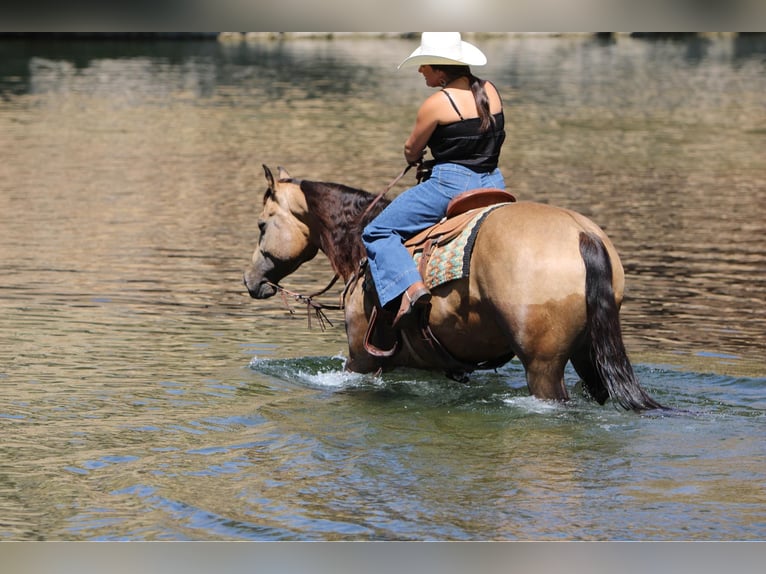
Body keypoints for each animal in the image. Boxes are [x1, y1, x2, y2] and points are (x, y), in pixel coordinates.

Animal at [246, 164, 664, 412]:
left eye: (262, 224)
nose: (250, 281)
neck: (362, 247)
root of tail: (582, 234)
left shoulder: (361, 359)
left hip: (543, 366)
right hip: (587, 353)